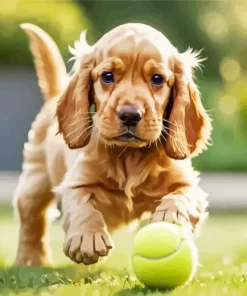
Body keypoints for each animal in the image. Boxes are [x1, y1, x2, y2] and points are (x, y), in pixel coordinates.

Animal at [13, 22, 211, 266]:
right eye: (107, 76)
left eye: (157, 79)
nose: (130, 115)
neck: (130, 155)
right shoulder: (76, 181)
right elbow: (82, 204)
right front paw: (87, 238)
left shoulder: (187, 182)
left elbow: (181, 197)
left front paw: (170, 218)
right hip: (35, 181)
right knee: (32, 219)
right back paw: (32, 260)